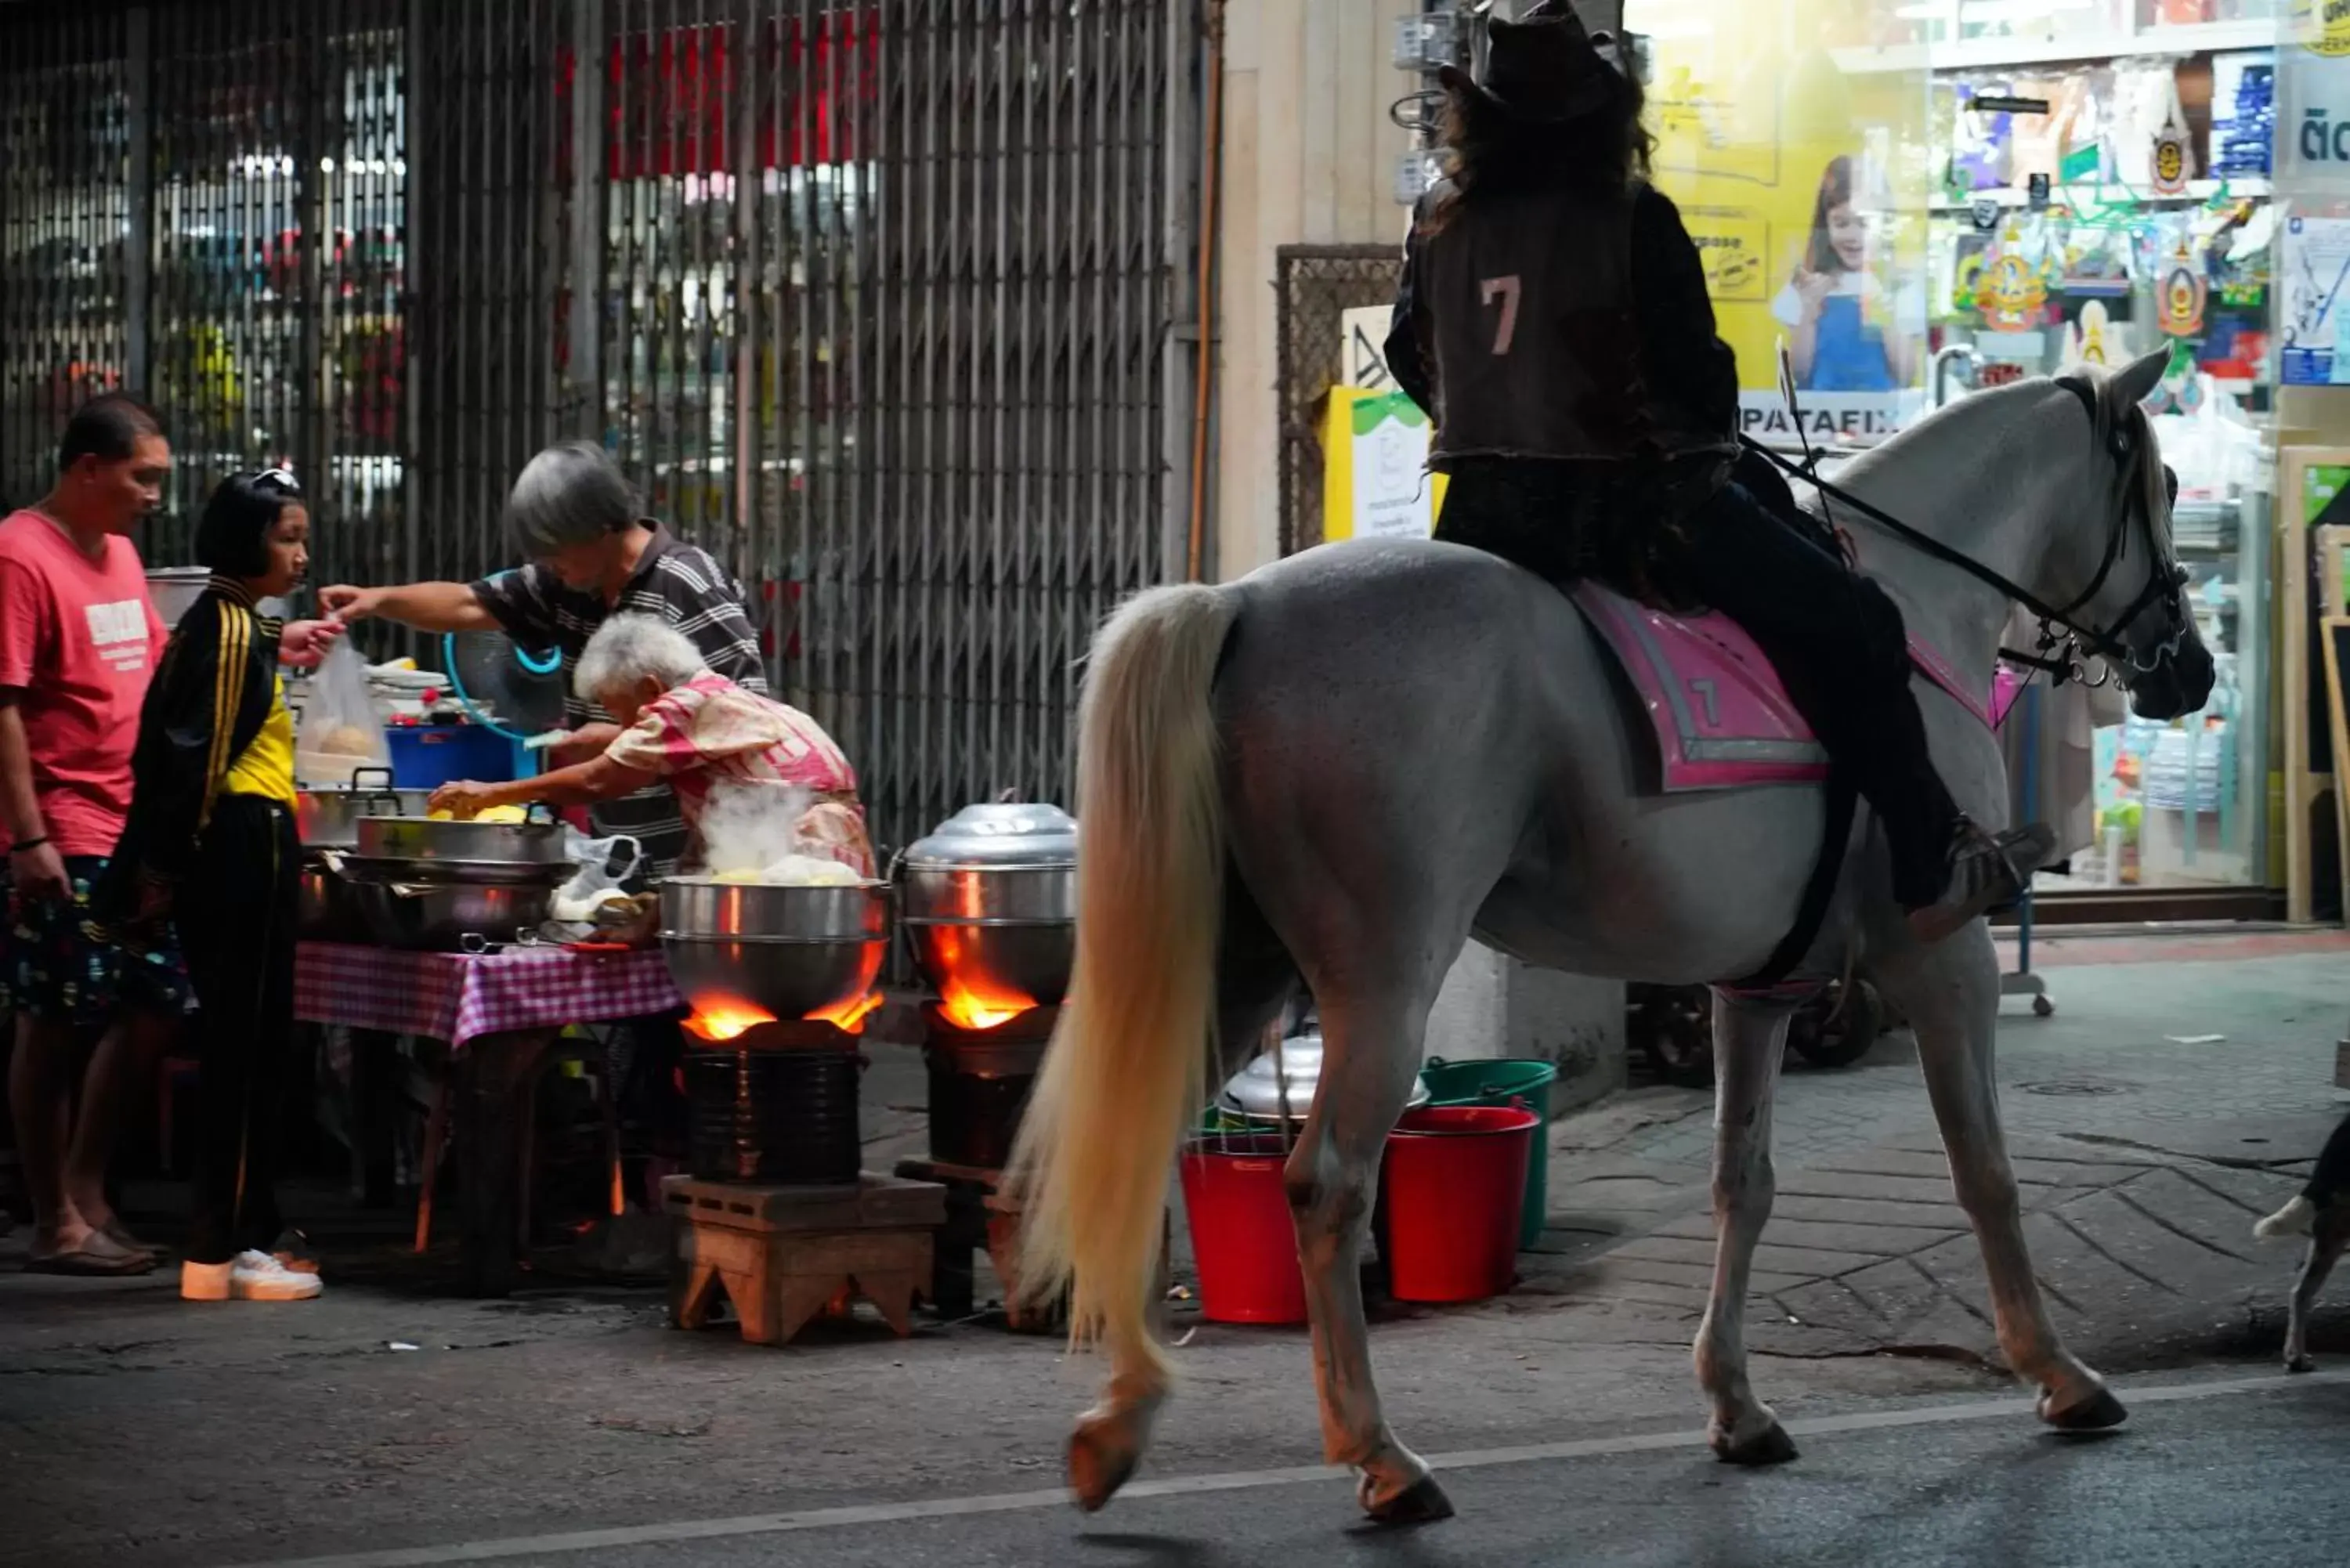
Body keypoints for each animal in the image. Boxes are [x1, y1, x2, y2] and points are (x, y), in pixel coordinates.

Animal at [1006, 352, 2200, 1523]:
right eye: (2171, 485)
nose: (2190, 668)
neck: (1917, 602)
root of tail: (1241, 601)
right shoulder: (1946, 962)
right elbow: (1986, 1170)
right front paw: (2058, 1372)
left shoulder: (1757, 990)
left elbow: (1743, 1181)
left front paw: (1736, 1403)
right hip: (1381, 979)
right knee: (1327, 1181)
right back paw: (1380, 1455)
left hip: (1242, 964)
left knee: (1141, 1133)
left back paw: (1121, 1420)